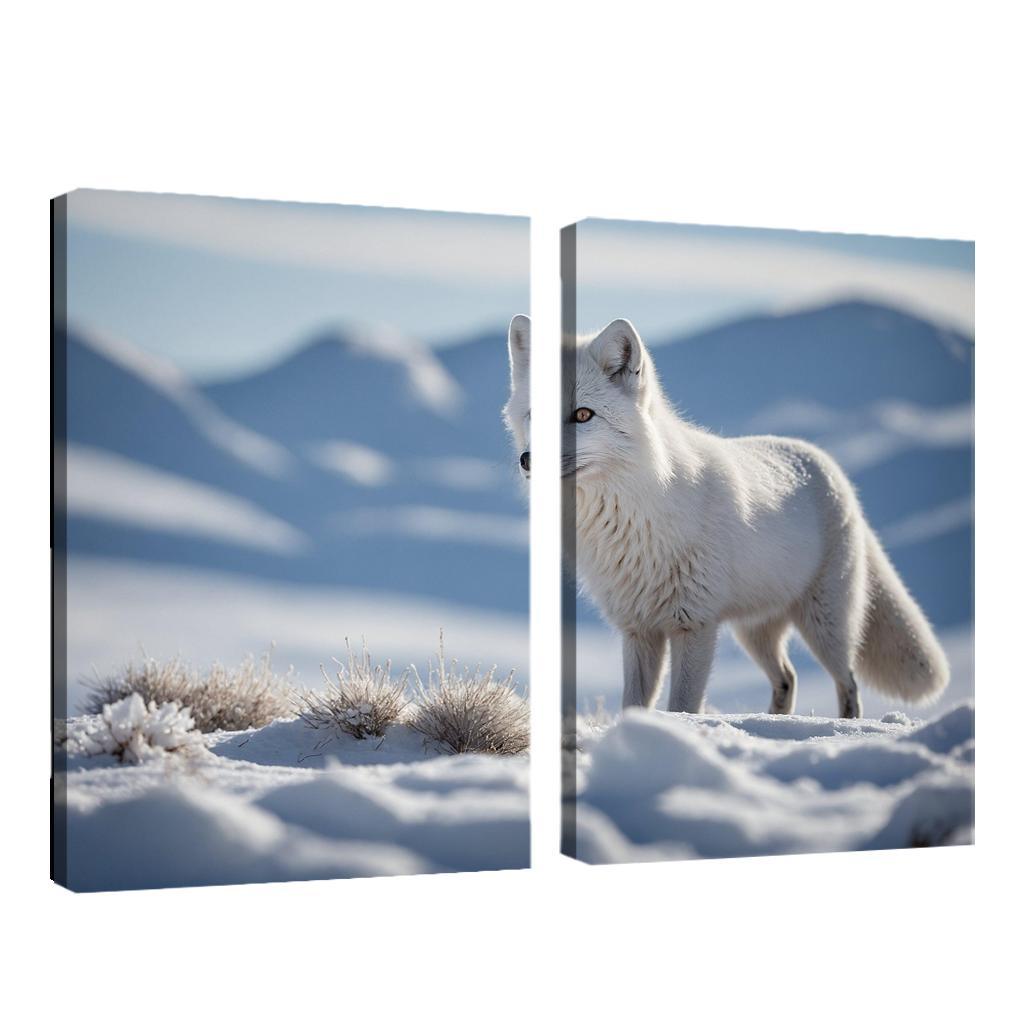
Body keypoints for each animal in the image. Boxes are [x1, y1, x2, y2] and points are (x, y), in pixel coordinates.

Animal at [503, 313, 950, 718]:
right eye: (534, 415)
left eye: (583, 415)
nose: (527, 460)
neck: (634, 515)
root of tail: (826, 463)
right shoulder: (639, 628)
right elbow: (635, 703)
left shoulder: (694, 624)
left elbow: (683, 706)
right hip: (753, 631)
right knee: (788, 678)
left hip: (825, 625)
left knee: (849, 683)